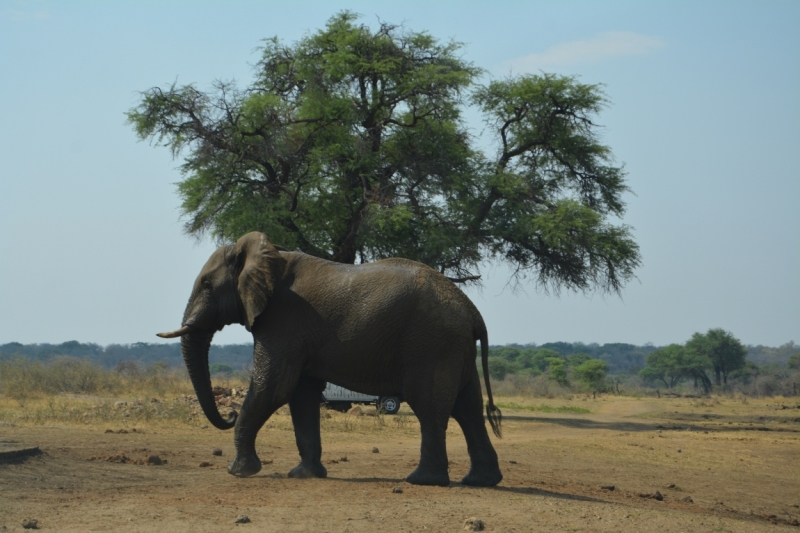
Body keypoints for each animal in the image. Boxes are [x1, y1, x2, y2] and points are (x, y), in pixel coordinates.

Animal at [159, 231, 504, 484]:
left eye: (206, 285)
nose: (228, 414)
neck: (269, 253)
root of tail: (472, 311)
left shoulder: (283, 322)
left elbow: (274, 388)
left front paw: (239, 472)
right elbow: (301, 395)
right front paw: (304, 476)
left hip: (432, 344)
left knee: (431, 406)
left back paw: (421, 480)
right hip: (454, 347)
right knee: (468, 408)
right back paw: (481, 481)